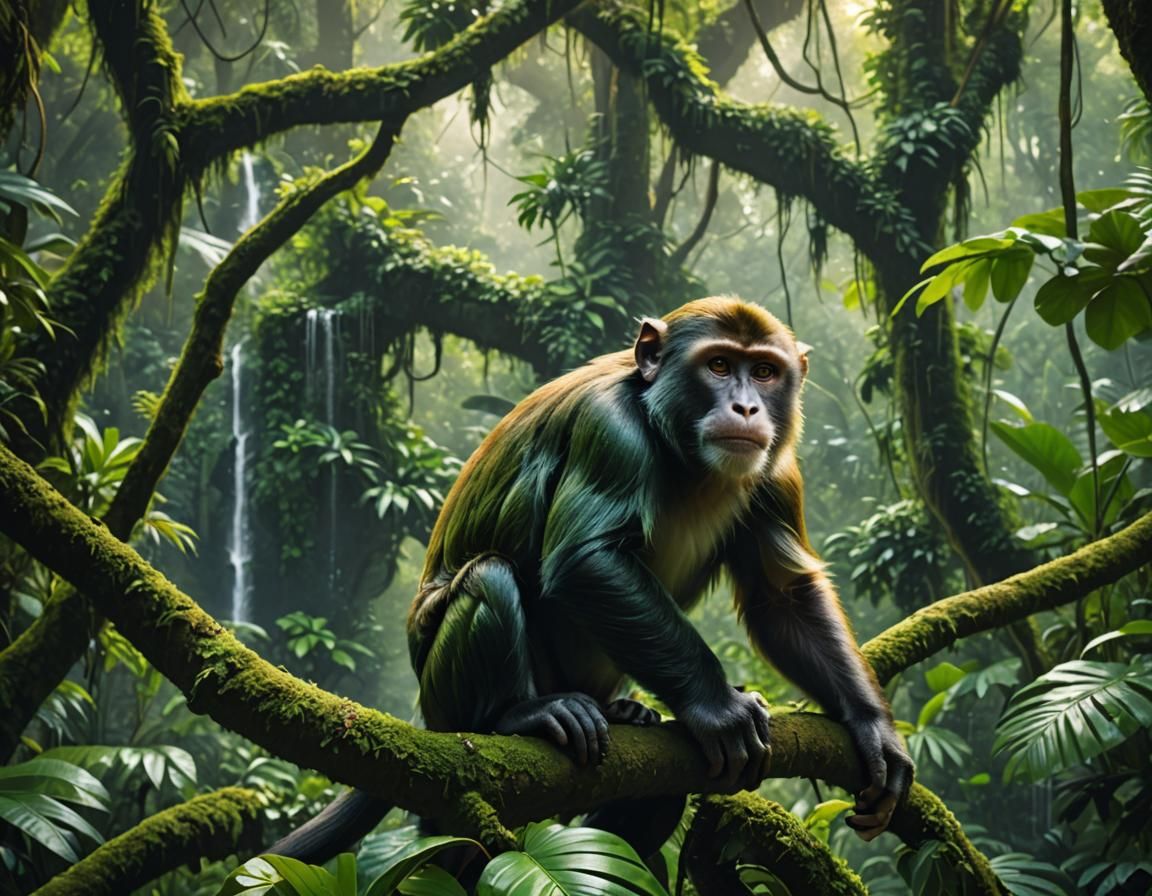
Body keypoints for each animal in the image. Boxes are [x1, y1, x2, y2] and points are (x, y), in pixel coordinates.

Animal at [271, 296, 912, 865]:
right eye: (719, 365)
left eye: (764, 371)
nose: (749, 408)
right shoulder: (612, 429)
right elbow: (586, 560)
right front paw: (718, 707)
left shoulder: (778, 468)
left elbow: (781, 597)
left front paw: (872, 728)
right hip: (445, 699)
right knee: (491, 579)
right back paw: (518, 716)